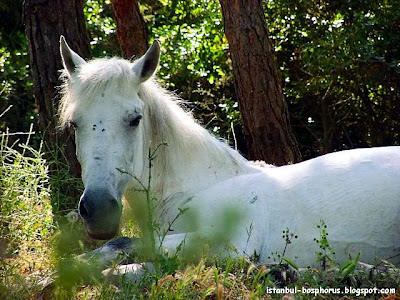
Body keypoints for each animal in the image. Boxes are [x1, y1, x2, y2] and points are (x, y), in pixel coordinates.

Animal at [59, 36, 400, 270]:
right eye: (75, 123)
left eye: (134, 119)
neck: (194, 190)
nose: (98, 209)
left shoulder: (228, 245)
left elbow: (122, 245)